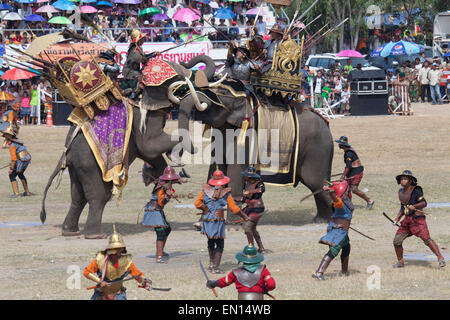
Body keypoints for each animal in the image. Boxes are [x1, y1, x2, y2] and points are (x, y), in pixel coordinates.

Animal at [171, 82, 334, 221]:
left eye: (222, 92)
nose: (195, 148)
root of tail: (324, 121)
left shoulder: (246, 134)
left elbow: (235, 170)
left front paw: (233, 223)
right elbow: (216, 169)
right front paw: (201, 223)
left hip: (318, 148)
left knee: (316, 182)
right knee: (317, 185)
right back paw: (321, 220)